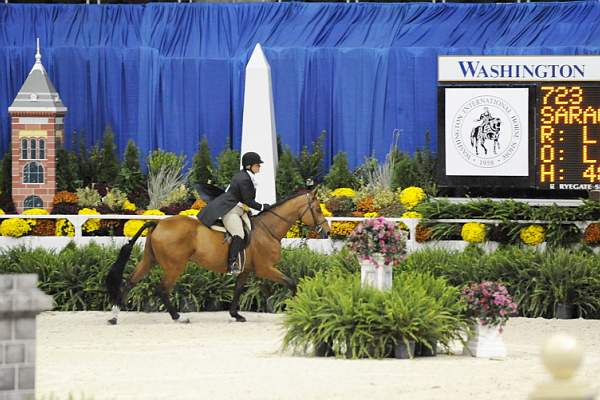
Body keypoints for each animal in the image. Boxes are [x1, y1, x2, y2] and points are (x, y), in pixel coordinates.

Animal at [103, 189, 328, 324]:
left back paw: (114, 316)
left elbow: (238, 290)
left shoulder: (245, 270)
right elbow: (291, 283)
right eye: (317, 209)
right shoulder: (266, 269)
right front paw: (298, 307)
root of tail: (158, 223)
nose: (325, 231)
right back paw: (178, 317)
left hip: (150, 260)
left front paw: (236, 315)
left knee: (130, 282)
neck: (268, 229)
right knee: (162, 289)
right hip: (174, 266)